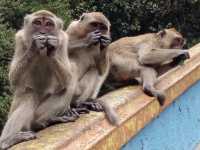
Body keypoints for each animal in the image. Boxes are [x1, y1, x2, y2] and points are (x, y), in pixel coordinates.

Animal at [0, 9, 79, 149]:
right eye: (37, 23)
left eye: (48, 24)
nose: (42, 32)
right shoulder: (19, 39)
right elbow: (13, 79)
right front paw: (34, 46)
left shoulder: (63, 40)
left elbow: (67, 79)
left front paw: (51, 48)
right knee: (28, 95)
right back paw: (8, 140)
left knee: (72, 75)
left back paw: (45, 120)